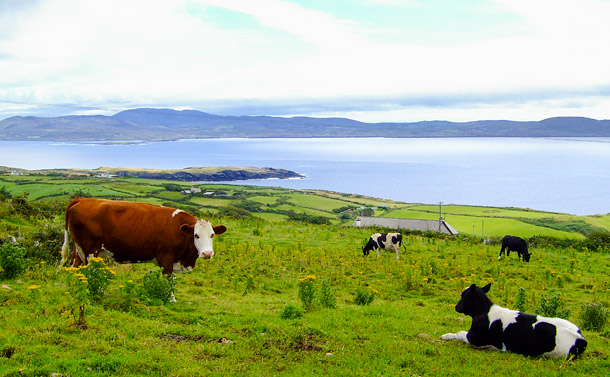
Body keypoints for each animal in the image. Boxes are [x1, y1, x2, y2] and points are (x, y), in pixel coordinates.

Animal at [60, 198, 227, 298]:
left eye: (212, 235)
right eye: (196, 235)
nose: (207, 253)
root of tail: (82, 199)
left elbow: (172, 279)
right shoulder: (166, 257)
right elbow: (168, 279)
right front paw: (170, 298)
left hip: (79, 249)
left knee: (74, 265)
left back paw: (72, 286)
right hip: (90, 249)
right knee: (91, 270)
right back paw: (98, 291)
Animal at [440, 282, 588, 358]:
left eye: (463, 295)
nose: (456, 306)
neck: (483, 311)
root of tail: (580, 337)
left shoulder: (475, 337)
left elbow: (459, 333)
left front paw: (445, 336)